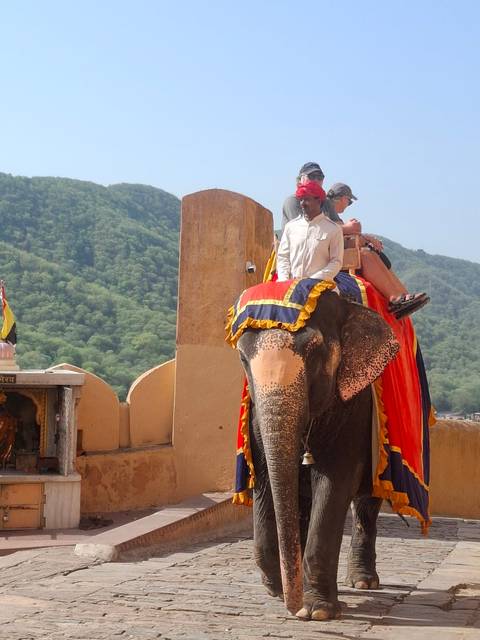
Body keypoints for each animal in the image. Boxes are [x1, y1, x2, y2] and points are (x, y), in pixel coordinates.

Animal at [236, 290, 400, 620]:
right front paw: (280, 589)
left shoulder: (354, 406)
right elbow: (264, 479)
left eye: (315, 352)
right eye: (243, 358)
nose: (293, 607)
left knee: (366, 504)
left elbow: (335, 482)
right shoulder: (255, 419)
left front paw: (317, 612)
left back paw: (363, 582)